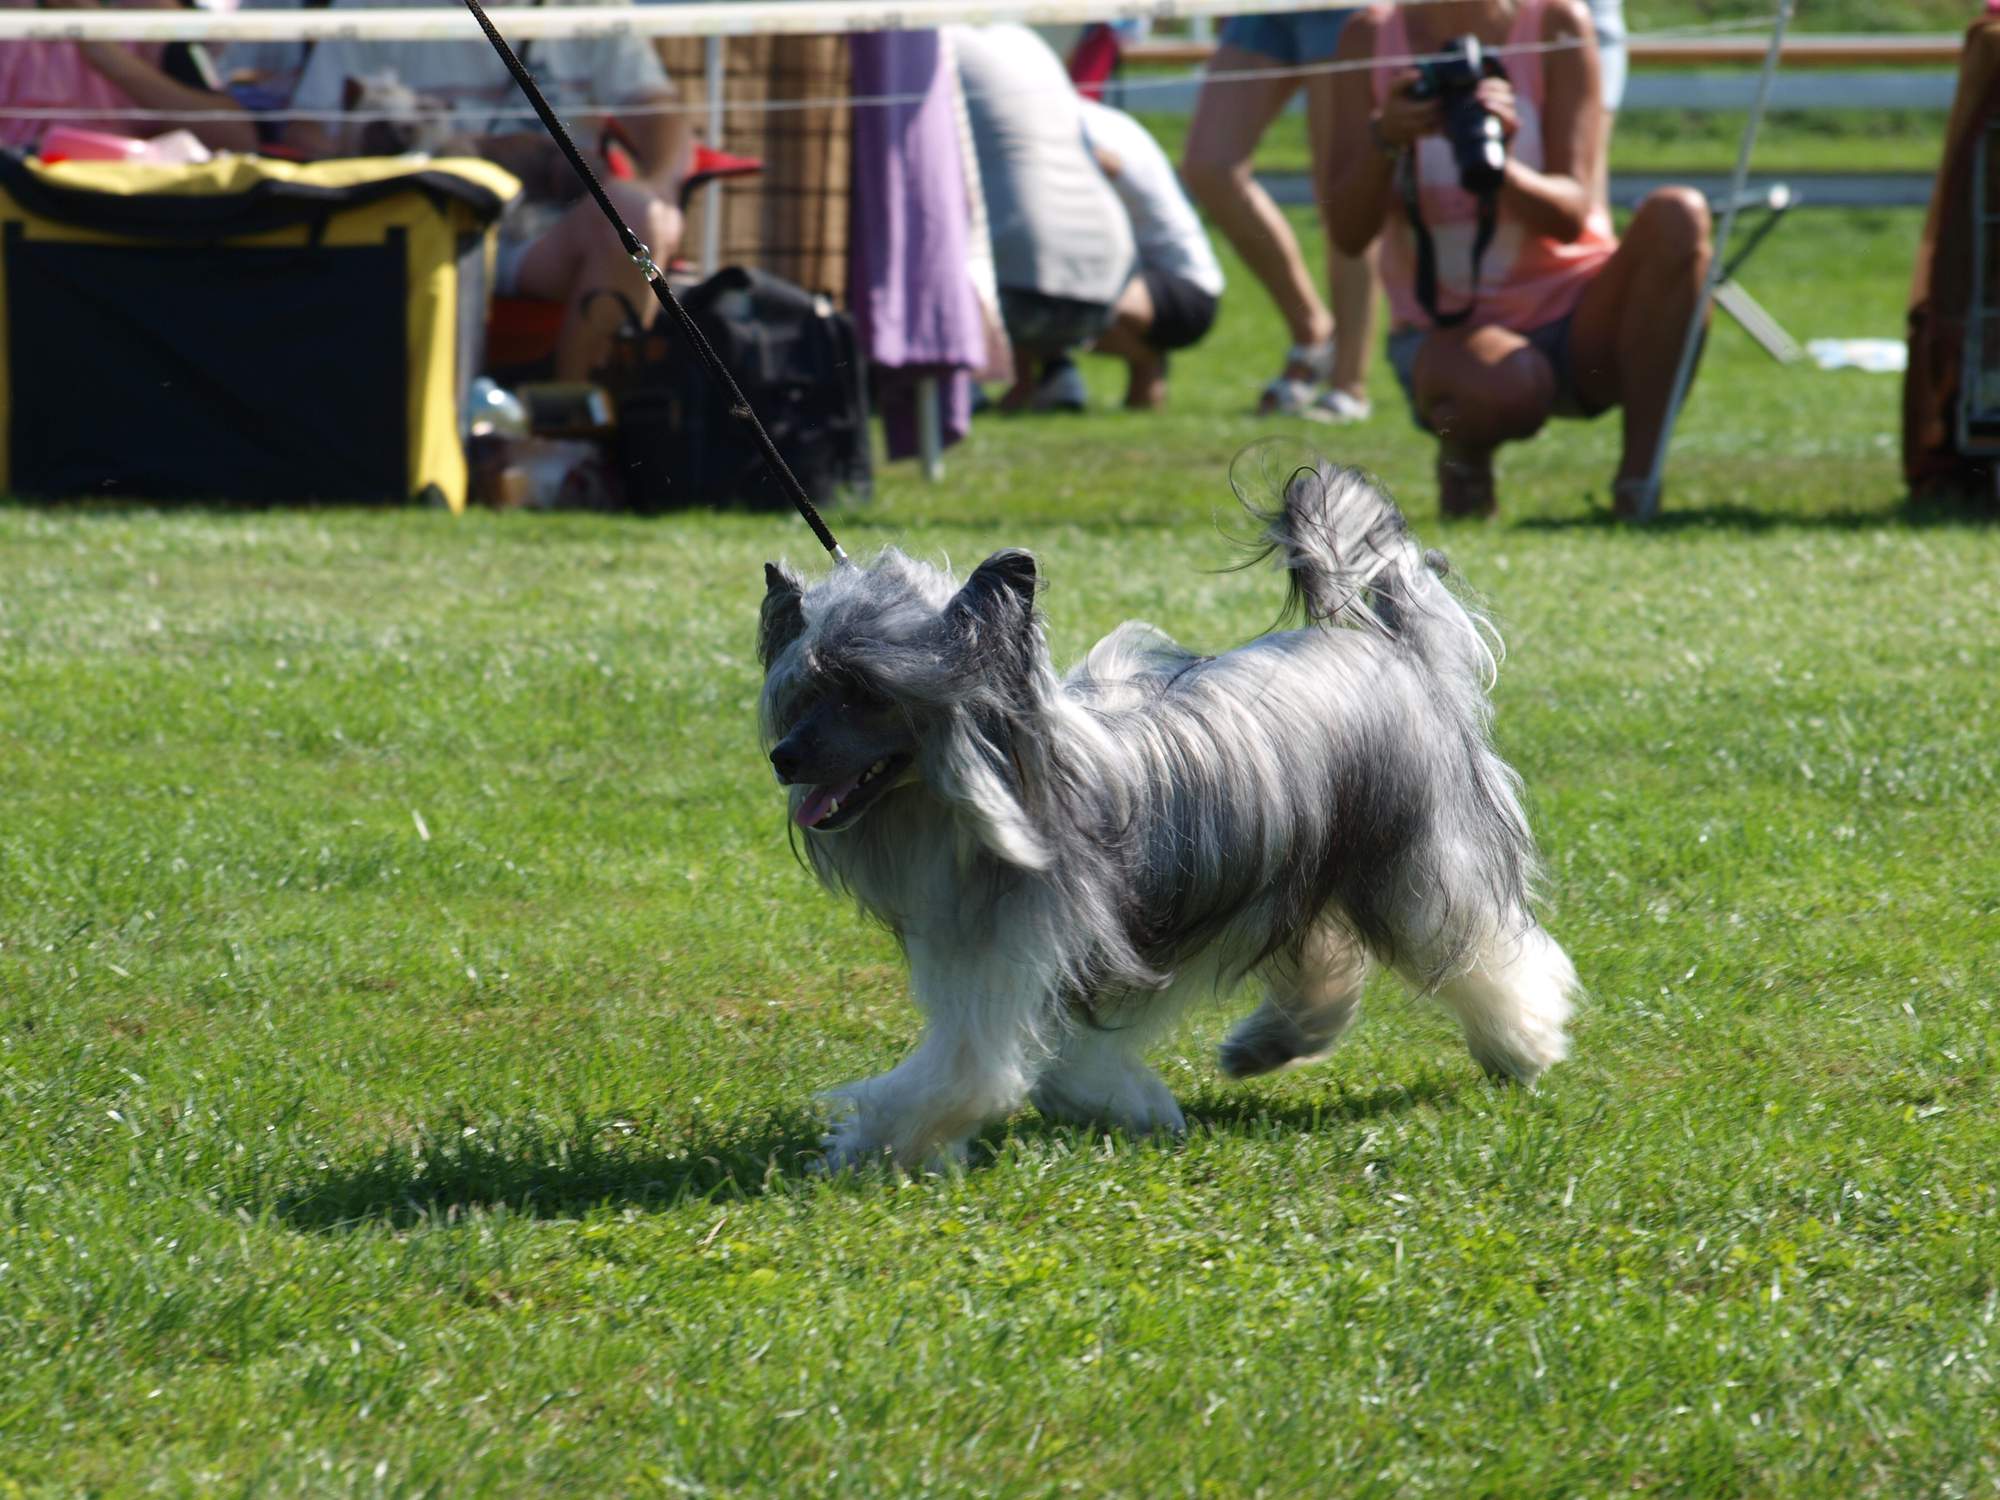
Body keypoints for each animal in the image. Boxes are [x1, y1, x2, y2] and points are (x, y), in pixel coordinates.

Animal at [756, 462, 1568, 1176]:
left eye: (866, 694)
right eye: (804, 691)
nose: (782, 757)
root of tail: (1389, 644)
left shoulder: (1014, 966)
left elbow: (965, 1074)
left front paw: (861, 1150)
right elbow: (1061, 1063)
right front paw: (1133, 1108)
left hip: (1415, 858)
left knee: (1482, 944)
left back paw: (1522, 1046)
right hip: (1296, 868)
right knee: (1326, 957)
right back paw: (1267, 1046)